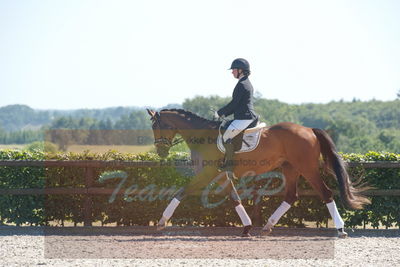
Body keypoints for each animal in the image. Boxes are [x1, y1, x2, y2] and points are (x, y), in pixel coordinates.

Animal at [146, 109, 368, 239]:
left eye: (157, 126)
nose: (161, 152)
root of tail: (309, 130)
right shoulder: (221, 175)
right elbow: (234, 198)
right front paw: (247, 227)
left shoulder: (207, 173)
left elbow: (181, 192)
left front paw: (161, 221)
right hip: (290, 168)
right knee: (291, 196)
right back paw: (267, 226)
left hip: (307, 168)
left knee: (326, 193)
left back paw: (340, 229)